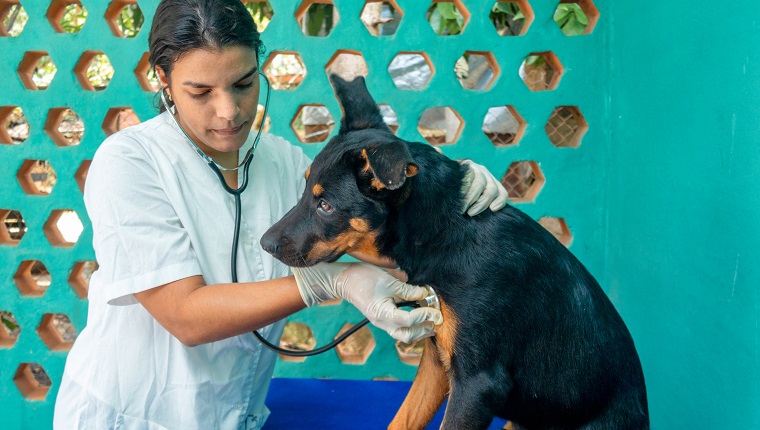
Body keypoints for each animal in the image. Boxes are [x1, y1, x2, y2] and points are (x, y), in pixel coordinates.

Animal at [262, 75, 648, 428]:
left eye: (325, 205)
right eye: (305, 190)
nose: (264, 243)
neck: (443, 233)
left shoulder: (478, 384)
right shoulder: (437, 362)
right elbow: (402, 419)